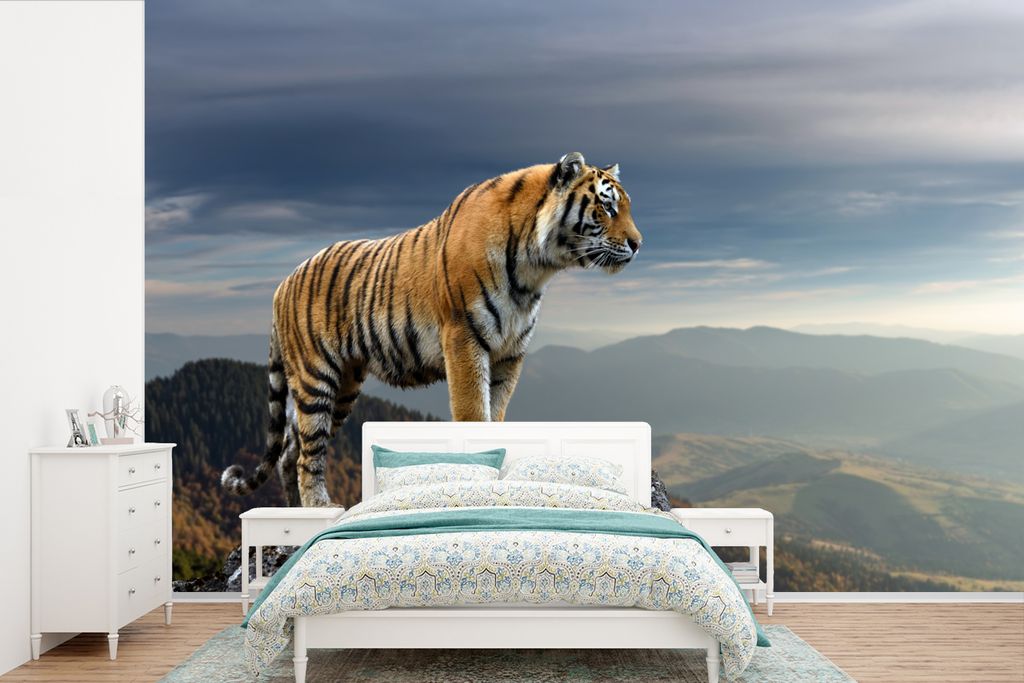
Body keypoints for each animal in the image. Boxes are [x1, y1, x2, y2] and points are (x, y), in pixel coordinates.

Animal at [221, 152, 643, 507]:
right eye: (607, 206)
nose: (639, 244)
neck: (535, 268)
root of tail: (282, 283)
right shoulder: (465, 340)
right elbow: (474, 416)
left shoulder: (510, 353)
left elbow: (497, 418)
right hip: (316, 378)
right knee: (307, 454)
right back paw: (318, 508)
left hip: (343, 386)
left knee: (289, 450)